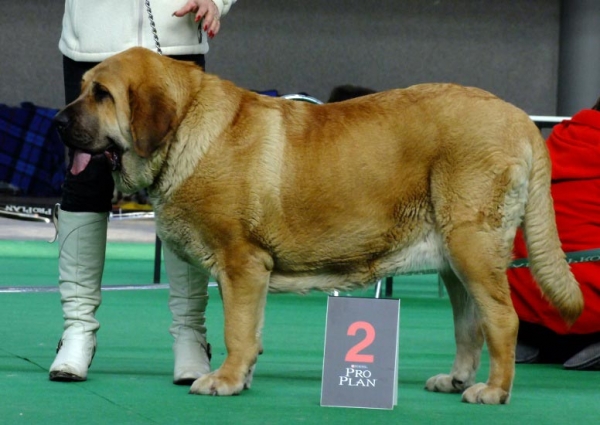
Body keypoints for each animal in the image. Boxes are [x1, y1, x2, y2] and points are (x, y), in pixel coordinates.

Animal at [54, 47, 584, 404]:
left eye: (102, 95)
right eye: (82, 89)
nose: (57, 123)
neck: (185, 125)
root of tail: (519, 118)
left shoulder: (241, 263)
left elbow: (237, 330)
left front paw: (224, 379)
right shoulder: (250, 274)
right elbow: (251, 329)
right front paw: (241, 376)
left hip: (472, 246)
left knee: (502, 320)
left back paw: (492, 390)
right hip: (455, 261)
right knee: (469, 324)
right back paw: (455, 380)